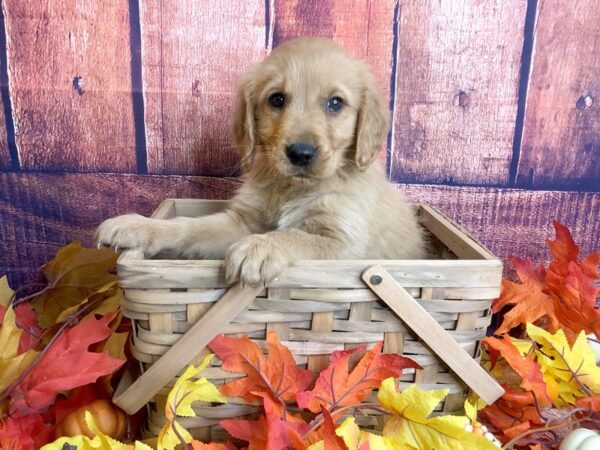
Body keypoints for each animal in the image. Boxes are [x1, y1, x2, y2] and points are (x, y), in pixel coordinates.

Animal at [96, 37, 426, 284]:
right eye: (276, 99)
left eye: (336, 103)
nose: (301, 153)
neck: (291, 188)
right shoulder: (242, 221)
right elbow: (190, 226)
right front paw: (138, 226)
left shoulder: (346, 245)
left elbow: (295, 236)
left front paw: (260, 246)